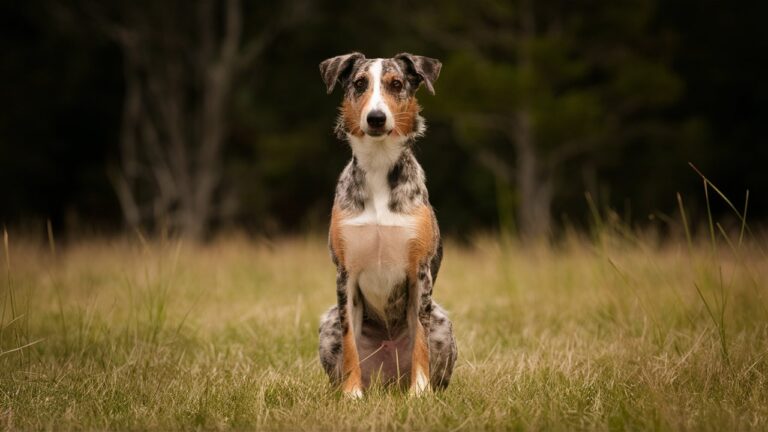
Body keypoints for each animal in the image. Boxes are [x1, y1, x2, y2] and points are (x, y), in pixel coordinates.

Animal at [316, 52, 456, 396]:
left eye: (396, 84)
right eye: (359, 83)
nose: (376, 118)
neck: (379, 165)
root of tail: (390, 381)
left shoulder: (419, 273)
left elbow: (420, 340)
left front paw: (420, 393)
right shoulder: (346, 275)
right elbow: (350, 344)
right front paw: (353, 394)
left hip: (443, 323)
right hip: (328, 323)